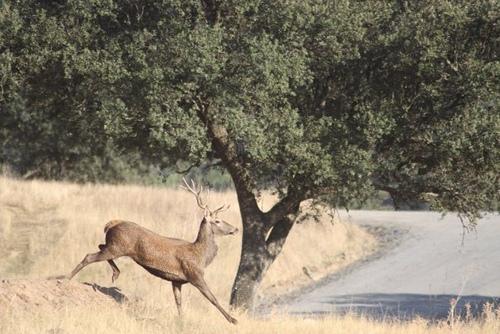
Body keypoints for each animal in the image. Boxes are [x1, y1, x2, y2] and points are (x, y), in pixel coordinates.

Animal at [66, 179, 240, 324]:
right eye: (217, 221)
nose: (236, 229)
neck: (201, 256)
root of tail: (111, 224)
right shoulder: (194, 274)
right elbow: (213, 298)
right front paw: (233, 320)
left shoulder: (176, 281)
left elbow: (178, 302)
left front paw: (181, 320)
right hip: (117, 246)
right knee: (89, 256)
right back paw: (66, 278)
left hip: (114, 246)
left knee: (99, 246)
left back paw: (115, 273)